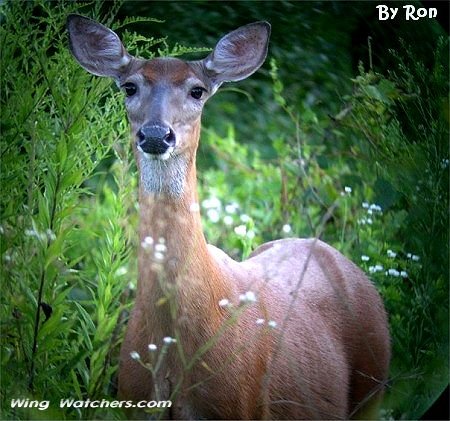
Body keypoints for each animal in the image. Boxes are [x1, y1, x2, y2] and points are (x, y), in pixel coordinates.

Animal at [67, 14, 390, 418]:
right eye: (129, 86)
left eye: (197, 91)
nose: (156, 134)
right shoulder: (134, 401)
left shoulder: (237, 404)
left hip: (374, 388)